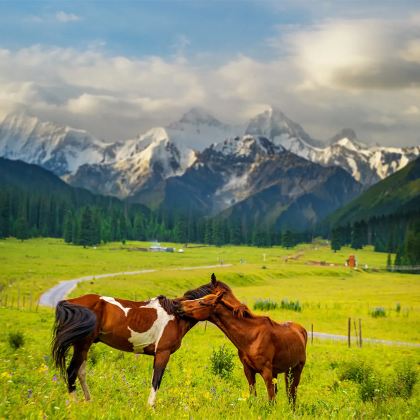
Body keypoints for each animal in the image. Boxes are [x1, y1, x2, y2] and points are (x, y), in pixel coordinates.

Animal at [51, 292, 194, 406]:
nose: (180, 309)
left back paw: (89, 401)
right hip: (82, 345)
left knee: (81, 372)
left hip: (83, 347)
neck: (176, 317)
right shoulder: (163, 353)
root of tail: (71, 302)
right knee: (72, 372)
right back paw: (74, 406)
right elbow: (156, 381)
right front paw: (150, 407)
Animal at [178, 274, 308, 406]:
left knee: (292, 393)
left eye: (201, 302)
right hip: (286, 371)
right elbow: (253, 396)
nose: (180, 306)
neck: (251, 336)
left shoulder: (266, 373)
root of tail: (301, 330)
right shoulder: (249, 371)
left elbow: (271, 399)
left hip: (296, 370)